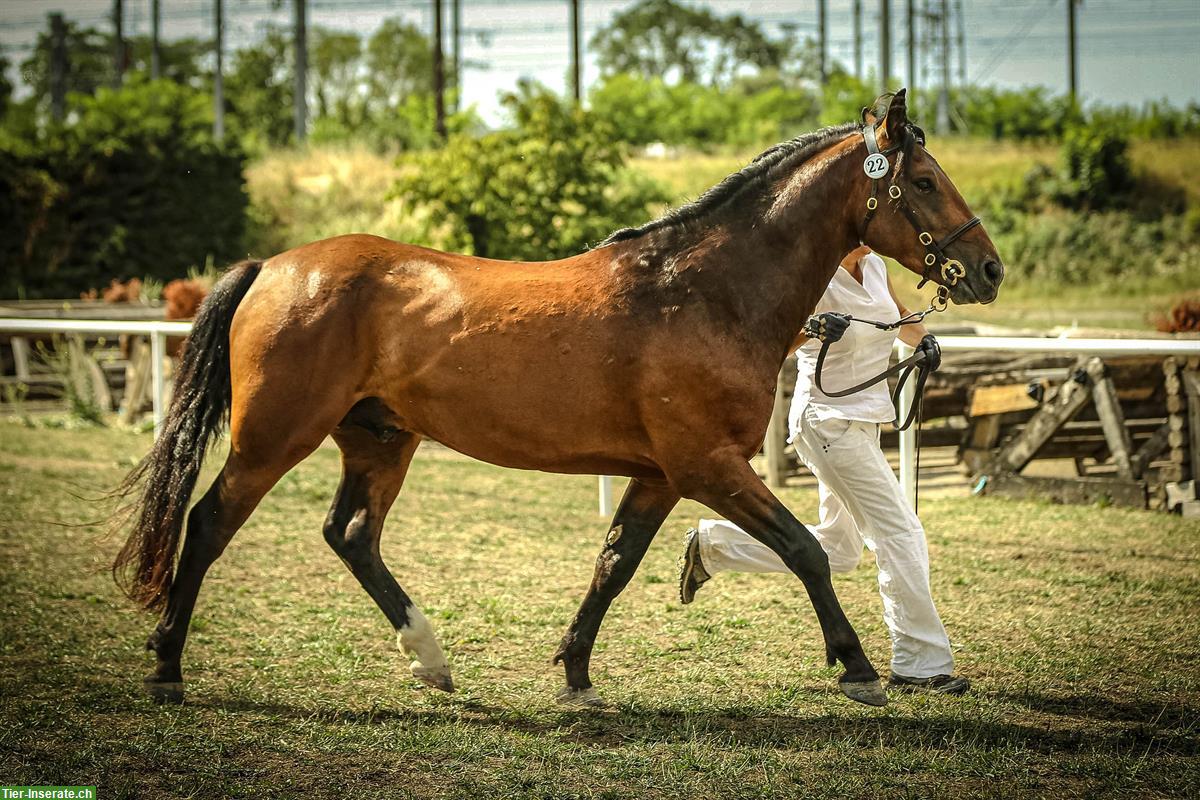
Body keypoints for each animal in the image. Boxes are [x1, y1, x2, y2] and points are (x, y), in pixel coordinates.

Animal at [112, 90, 1003, 710]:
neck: (700, 292)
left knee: (351, 536)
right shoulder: (709, 466)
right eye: (925, 181)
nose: (990, 269)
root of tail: (271, 266)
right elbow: (804, 551)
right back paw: (167, 668)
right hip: (274, 437)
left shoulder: (661, 475)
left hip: (380, 439)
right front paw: (857, 668)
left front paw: (575, 673)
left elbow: (614, 564)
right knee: (208, 524)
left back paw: (430, 659)